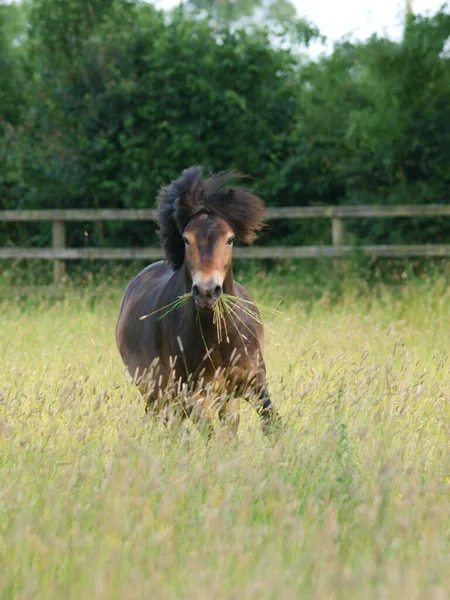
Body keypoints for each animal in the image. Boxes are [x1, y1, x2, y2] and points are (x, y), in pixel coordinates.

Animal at [114, 168, 280, 436]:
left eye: (230, 239)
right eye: (186, 240)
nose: (206, 291)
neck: (218, 337)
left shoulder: (254, 382)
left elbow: (271, 422)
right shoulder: (192, 393)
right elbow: (211, 433)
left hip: (224, 398)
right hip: (158, 394)